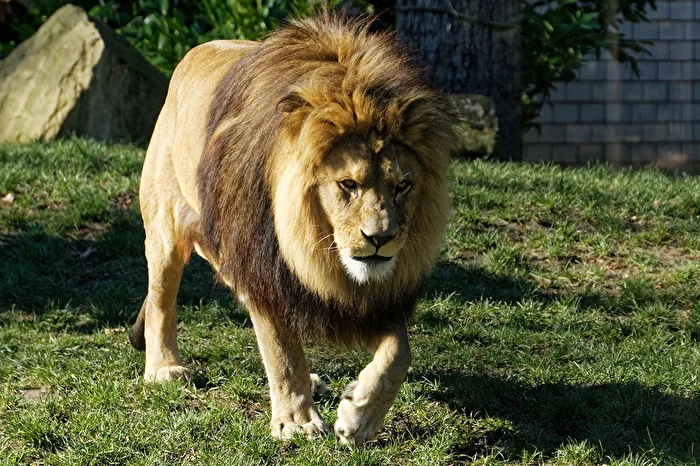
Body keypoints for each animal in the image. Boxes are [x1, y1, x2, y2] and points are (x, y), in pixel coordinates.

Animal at [128, 12, 457, 444]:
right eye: (347, 184)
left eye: (403, 186)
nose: (380, 240)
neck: (313, 246)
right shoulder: (263, 271)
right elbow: (282, 351)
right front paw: (296, 421)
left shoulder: (367, 303)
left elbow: (399, 353)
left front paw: (360, 418)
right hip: (166, 227)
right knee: (161, 299)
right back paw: (164, 368)